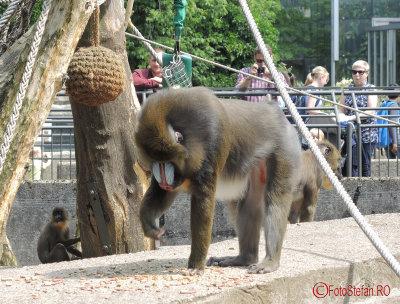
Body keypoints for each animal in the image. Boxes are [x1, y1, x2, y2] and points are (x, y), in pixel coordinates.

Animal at [134, 86, 300, 274]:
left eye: (166, 161)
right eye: (156, 161)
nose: (163, 180)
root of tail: (274, 110)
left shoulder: (212, 145)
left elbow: (203, 205)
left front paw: (196, 265)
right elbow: (162, 195)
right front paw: (150, 227)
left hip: (284, 149)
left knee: (276, 199)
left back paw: (270, 262)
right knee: (247, 205)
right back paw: (243, 258)